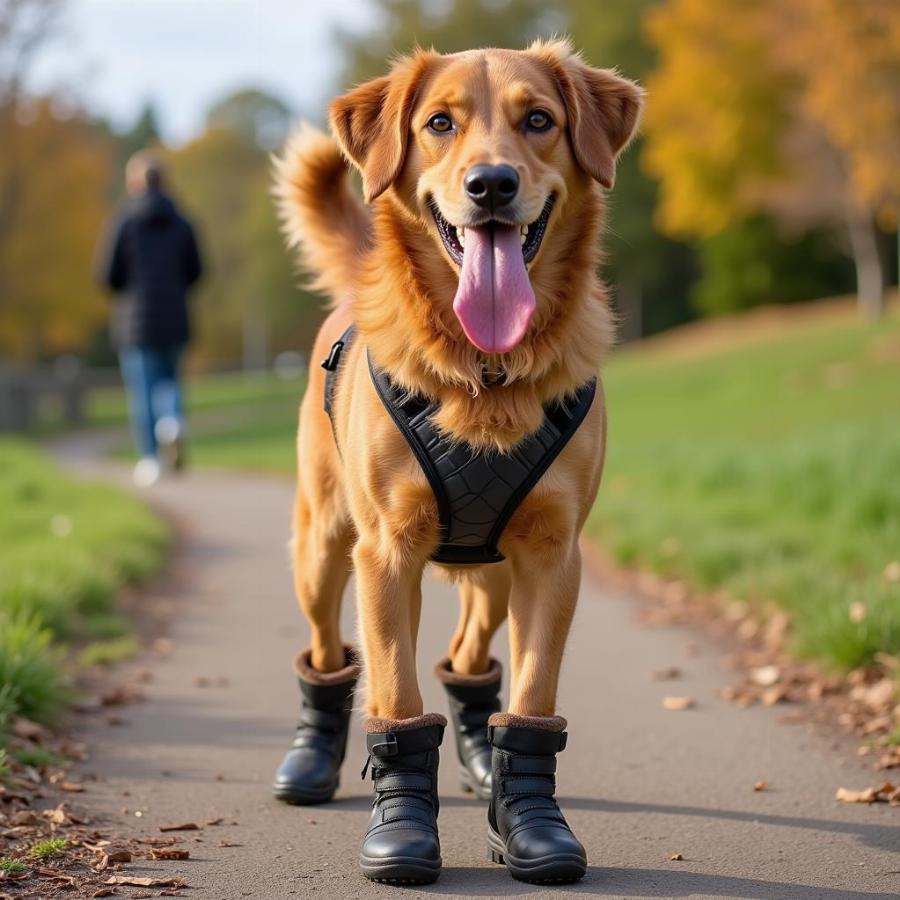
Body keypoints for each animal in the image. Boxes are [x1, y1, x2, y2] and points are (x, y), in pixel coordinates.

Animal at [270, 38, 644, 884]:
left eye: (538, 120)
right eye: (440, 123)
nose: (492, 183)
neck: (487, 368)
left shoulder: (553, 554)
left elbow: (530, 697)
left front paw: (531, 824)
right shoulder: (386, 553)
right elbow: (395, 696)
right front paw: (403, 831)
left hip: (495, 569)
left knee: (469, 656)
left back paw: (478, 754)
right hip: (325, 547)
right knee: (331, 652)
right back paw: (311, 758)